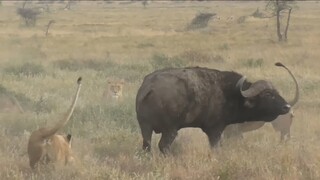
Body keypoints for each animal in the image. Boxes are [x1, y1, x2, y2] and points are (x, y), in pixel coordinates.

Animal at [136, 63, 292, 153]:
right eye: (268, 94)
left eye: (276, 92)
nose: (287, 107)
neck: (231, 92)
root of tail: (149, 86)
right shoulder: (215, 130)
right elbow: (216, 148)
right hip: (170, 130)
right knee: (163, 146)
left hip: (145, 128)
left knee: (146, 147)